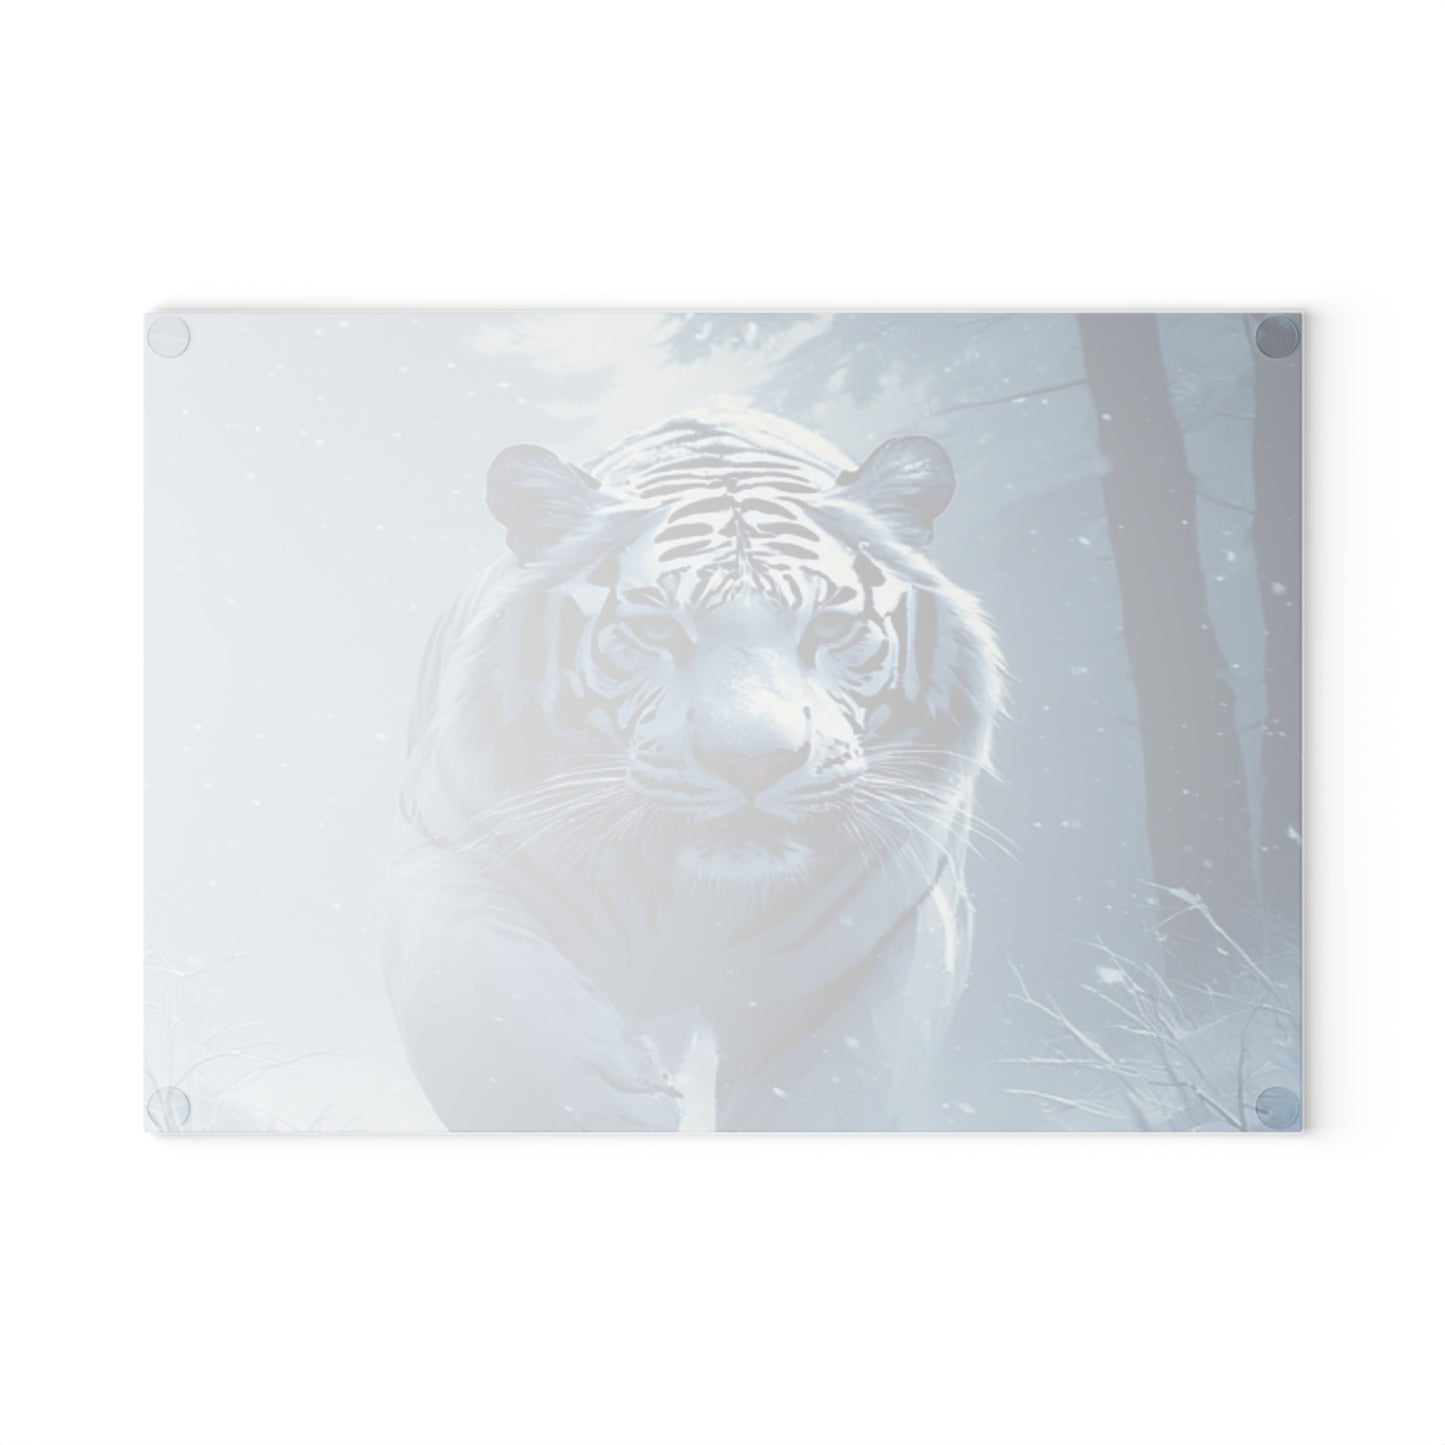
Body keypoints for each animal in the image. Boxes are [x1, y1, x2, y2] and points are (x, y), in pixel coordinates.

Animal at [382, 409, 1003, 1130]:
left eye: (829, 628)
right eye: (656, 630)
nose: (753, 759)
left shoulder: (889, 936)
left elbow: (835, 1089)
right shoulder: (444, 848)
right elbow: (484, 994)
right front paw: (610, 1107)